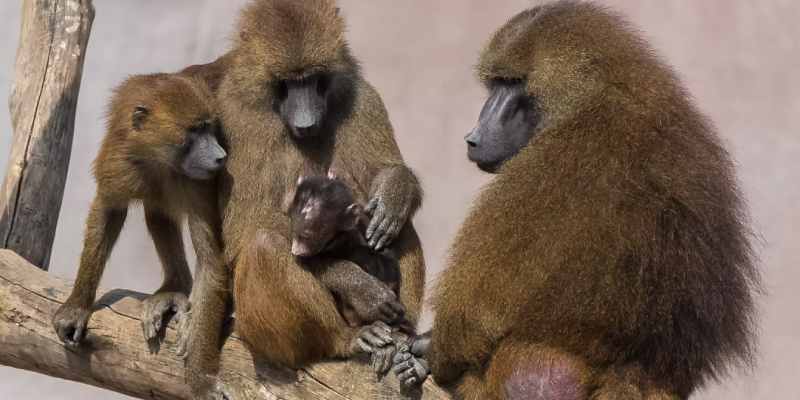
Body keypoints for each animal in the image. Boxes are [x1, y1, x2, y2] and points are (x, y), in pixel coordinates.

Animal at [51, 72, 228, 361]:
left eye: (210, 128)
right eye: (196, 130)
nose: (221, 157)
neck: (158, 158)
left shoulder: (198, 185)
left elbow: (210, 259)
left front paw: (196, 343)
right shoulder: (120, 160)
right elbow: (108, 211)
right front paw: (76, 308)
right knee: (157, 210)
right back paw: (173, 288)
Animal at [393, 2, 760, 399]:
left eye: (512, 84)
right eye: (498, 84)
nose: (472, 138)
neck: (594, 97)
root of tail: (632, 373)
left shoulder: (549, 161)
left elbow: (478, 311)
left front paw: (431, 349)